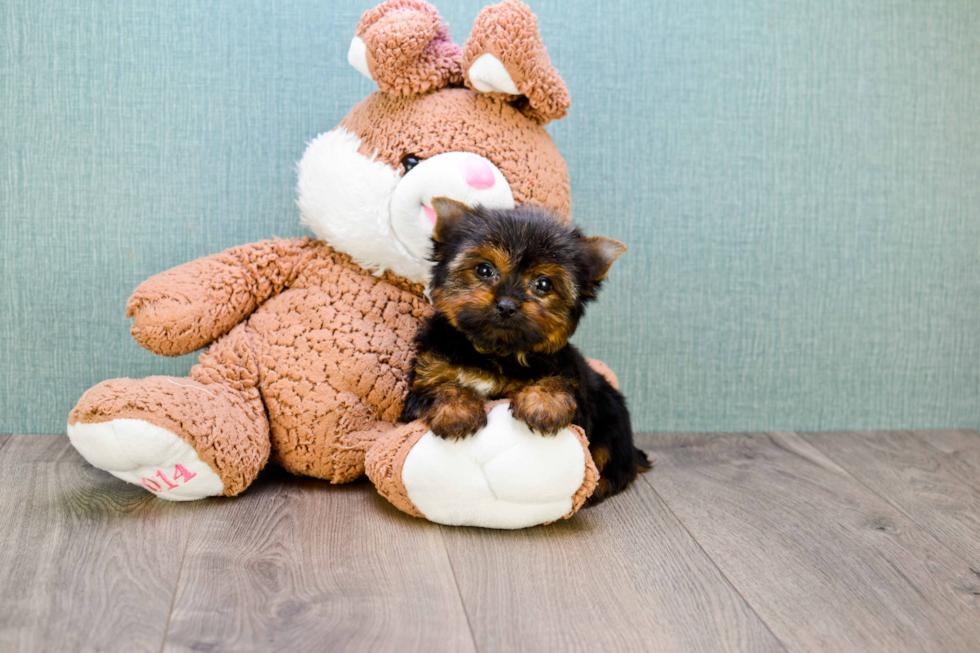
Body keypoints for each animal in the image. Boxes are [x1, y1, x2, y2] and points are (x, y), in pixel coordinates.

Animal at [400, 196, 652, 502]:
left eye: (543, 284)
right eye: (484, 269)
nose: (507, 305)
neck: (494, 352)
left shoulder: (573, 385)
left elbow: (559, 384)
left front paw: (544, 404)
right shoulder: (425, 377)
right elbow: (438, 388)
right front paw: (457, 411)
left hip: (613, 415)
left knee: (614, 461)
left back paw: (596, 487)